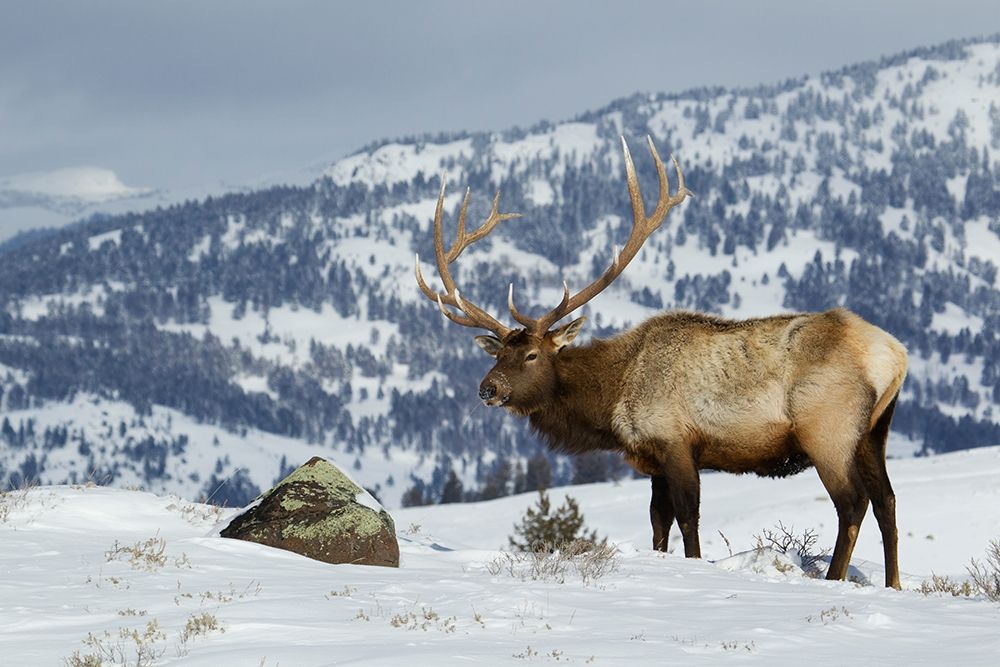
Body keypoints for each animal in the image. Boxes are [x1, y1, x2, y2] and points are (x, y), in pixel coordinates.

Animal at [414, 136, 908, 589]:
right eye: (498, 352)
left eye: (532, 354)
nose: (488, 389)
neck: (612, 398)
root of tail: (895, 355)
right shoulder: (652, 460)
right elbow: (658, 524)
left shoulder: (675, 441)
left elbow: (688, 519)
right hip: (874, 430)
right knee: (887, 500)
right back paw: (893, 584)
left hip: (827, 429)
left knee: (853, 502)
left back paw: (835, 579)